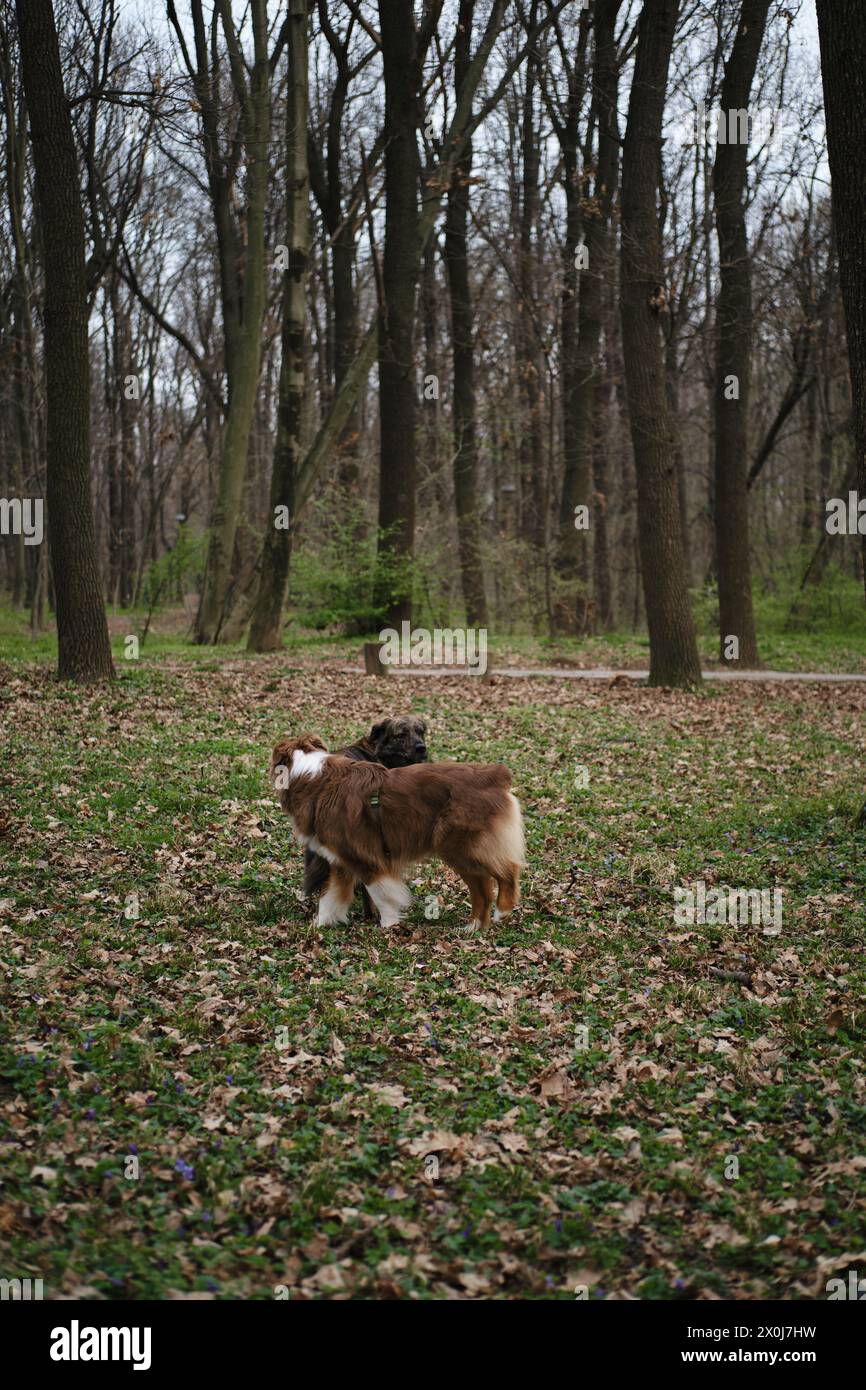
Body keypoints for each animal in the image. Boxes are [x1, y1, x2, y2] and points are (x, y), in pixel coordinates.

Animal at [269, 733, 522, 928]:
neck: (308, 774)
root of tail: (496, 774)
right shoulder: (341, 861)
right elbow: (330, 898)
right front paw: (319, 926)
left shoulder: (366, 858)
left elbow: (381, 895)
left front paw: (389, 926)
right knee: (483, 888)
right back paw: (473, 927)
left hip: (461, 846)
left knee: (507, 870)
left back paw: (501, 911)